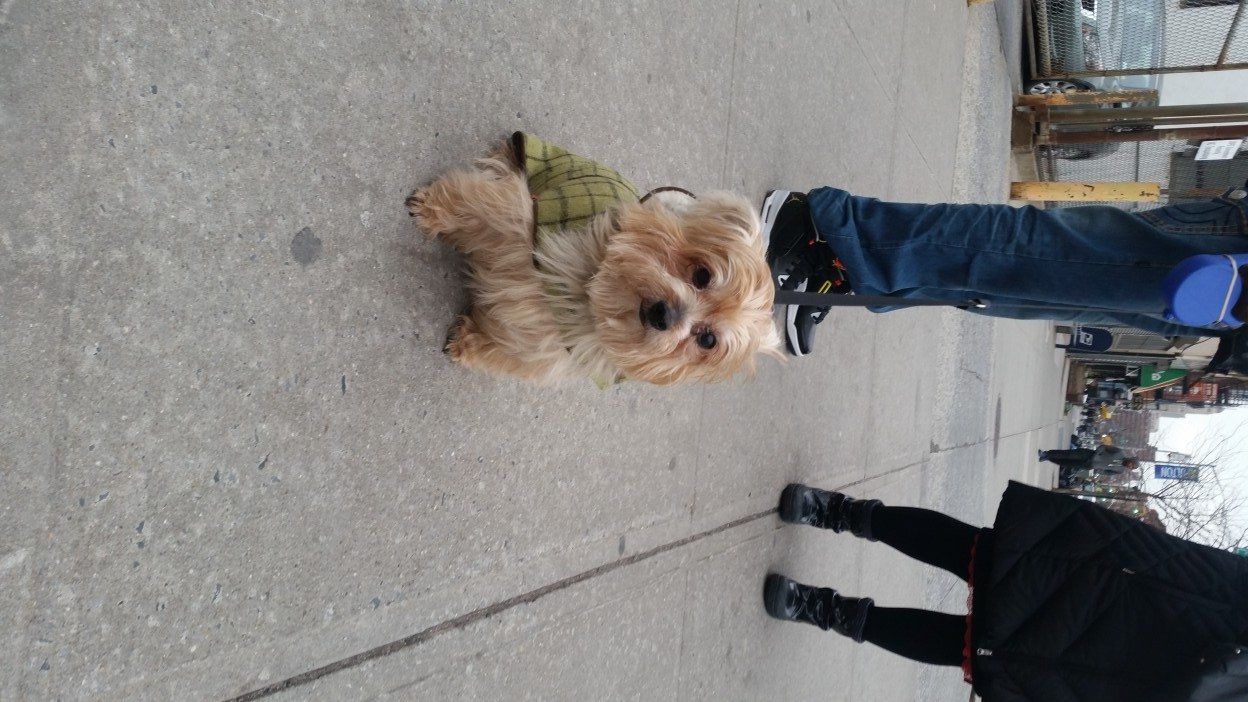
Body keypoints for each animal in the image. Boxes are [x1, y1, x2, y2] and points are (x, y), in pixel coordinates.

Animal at [409, 133, 778, 384]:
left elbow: (508, 350)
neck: (591, 294)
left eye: (707, 340)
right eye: (702, 275)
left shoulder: (545, 349)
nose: (664, 314)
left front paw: (471, 343)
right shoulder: (519, 214)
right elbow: (473, 204)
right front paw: (433, 209)